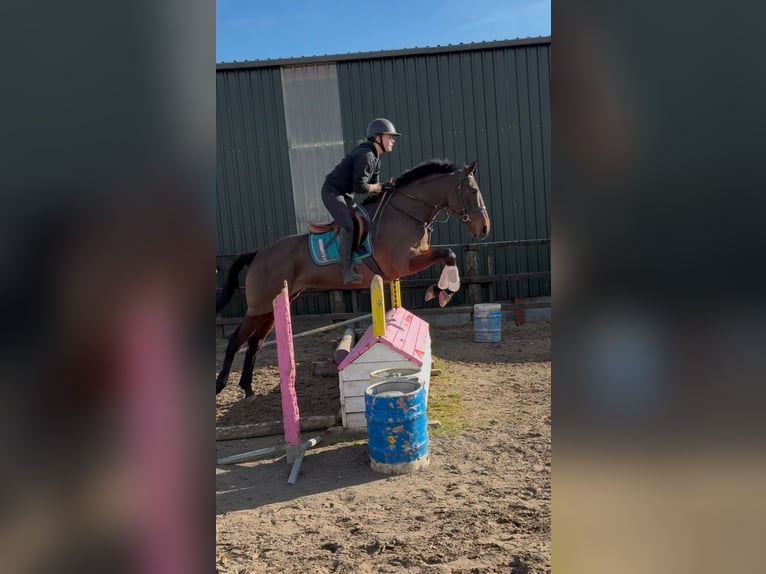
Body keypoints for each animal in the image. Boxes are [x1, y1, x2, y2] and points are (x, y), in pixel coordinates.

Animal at [216, 159, 490, 398]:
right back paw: (221, 385)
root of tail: (258, 253)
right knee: (236, 340)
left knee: (255, 342)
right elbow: (448, 253)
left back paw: (248, 388)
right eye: (473, 190)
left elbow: (447, 254)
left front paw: (441, 290)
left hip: (275, 305)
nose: (484, 228)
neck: (405, 211)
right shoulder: (406, 262)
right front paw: (445, 290)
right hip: (260, 305)